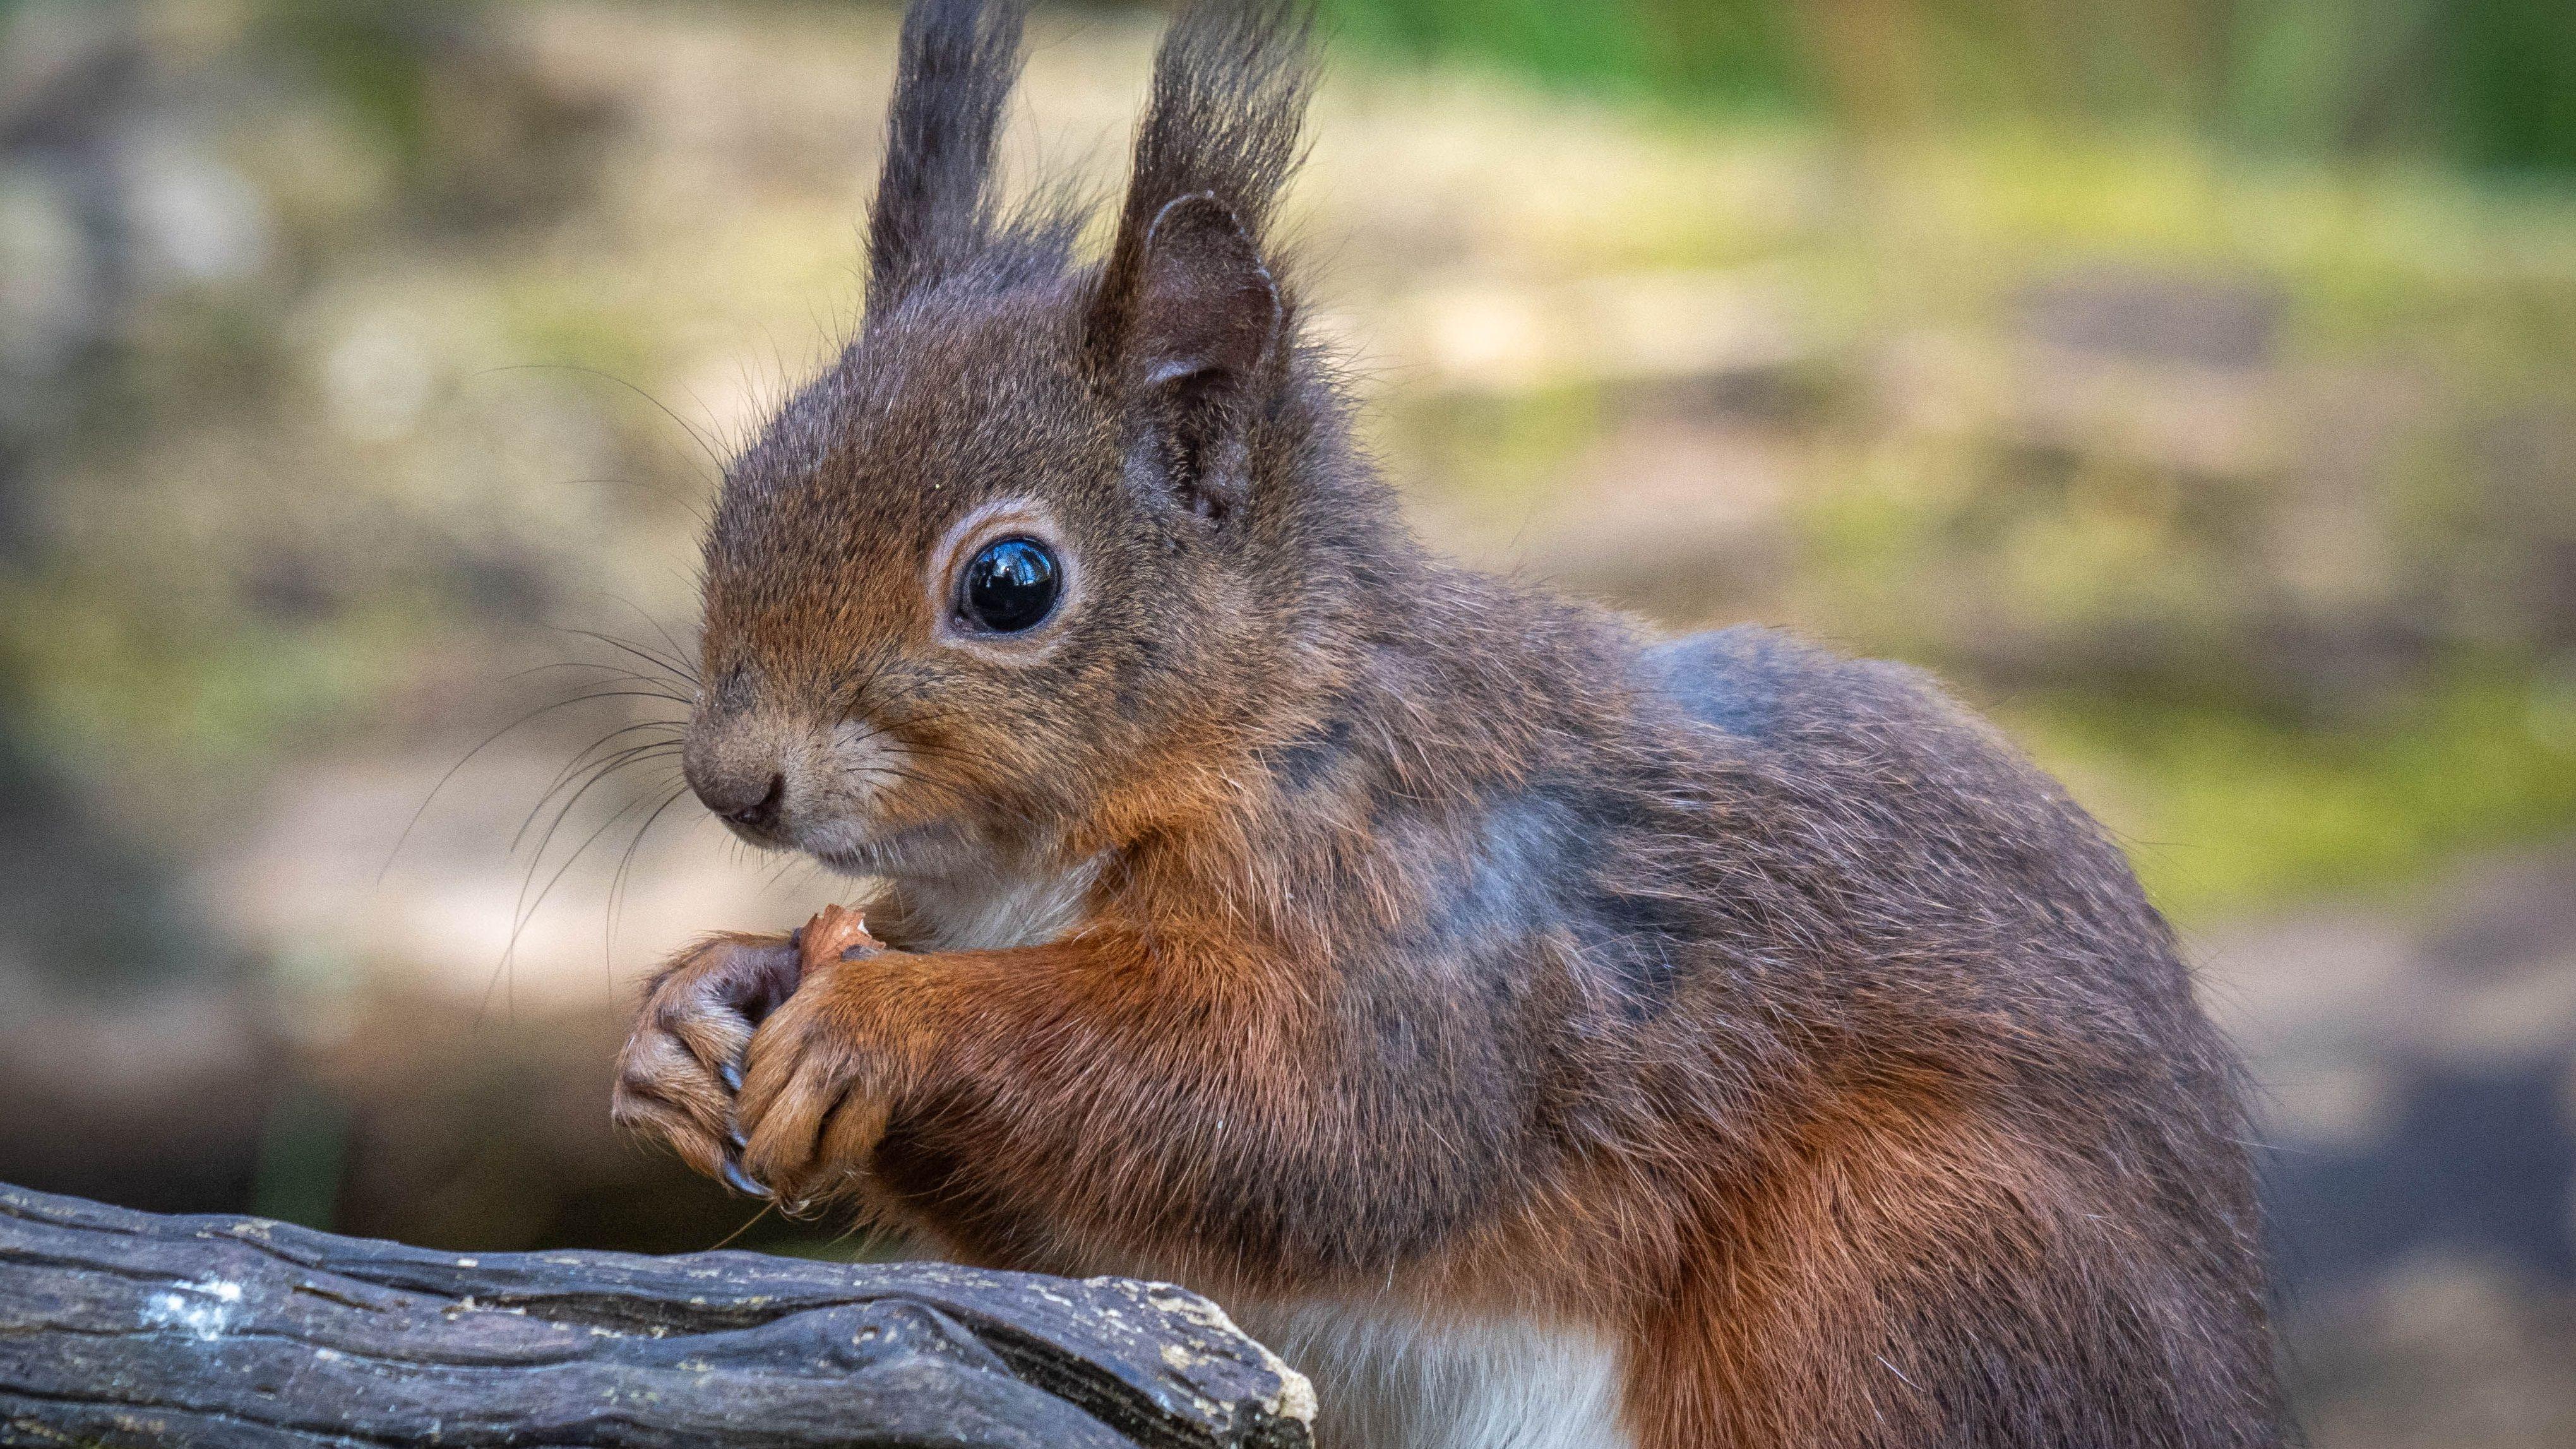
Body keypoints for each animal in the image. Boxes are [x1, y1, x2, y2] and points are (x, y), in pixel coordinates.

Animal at [609, 3, 2283, 1445]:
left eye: (1010, 583)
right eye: (749, 472)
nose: (733, 779)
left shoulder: (1435, 915)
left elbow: (1311, 1115)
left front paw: (888, 1016)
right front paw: (697, 1005)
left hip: (1893, 1259)